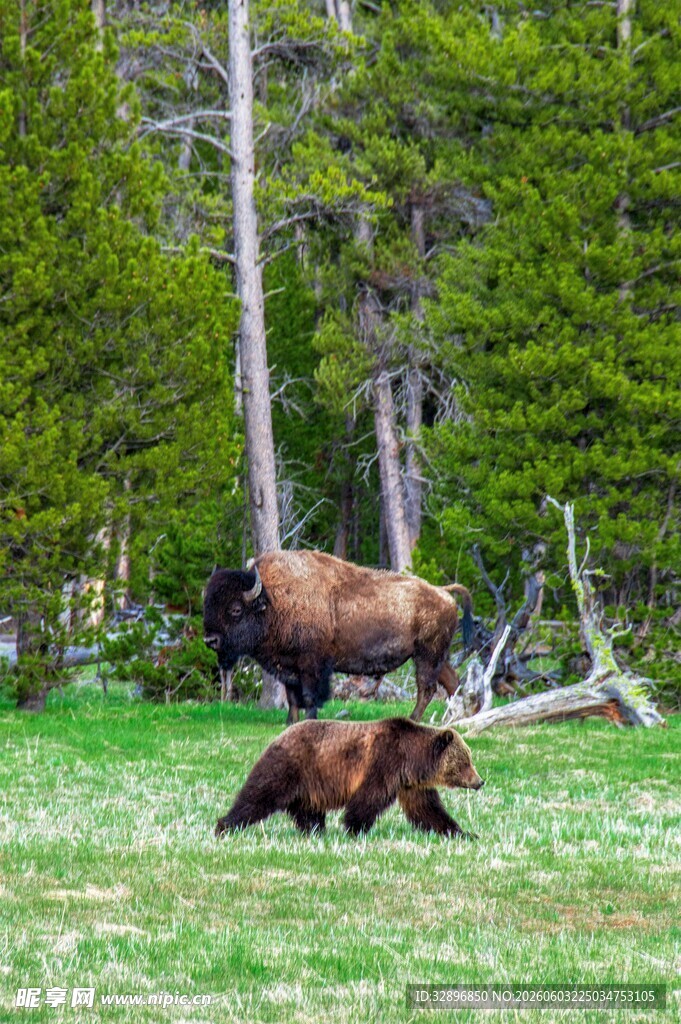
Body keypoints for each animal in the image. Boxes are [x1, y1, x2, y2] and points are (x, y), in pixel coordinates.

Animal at [215, 717, 484, 838]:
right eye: (465, 762)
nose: (480, 781)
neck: (412, 759)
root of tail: (279, 735)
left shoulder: (411, 784)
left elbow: (428, 809)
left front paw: (462, 832)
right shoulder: (384, 762)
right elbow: (368, 798)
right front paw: (355, 828)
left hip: (309, 783)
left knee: (307, 809)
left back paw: (315, 831)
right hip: (291, 765)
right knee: (259, 795)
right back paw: (225, 825)